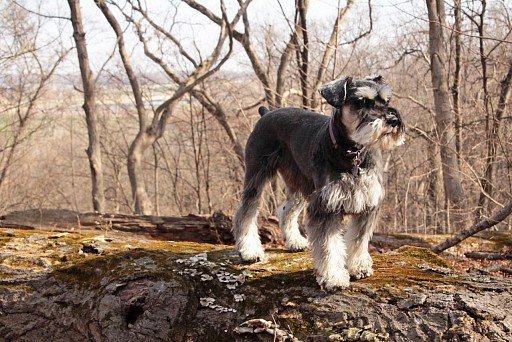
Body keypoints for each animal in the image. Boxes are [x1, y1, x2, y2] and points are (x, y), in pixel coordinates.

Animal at [232, 76, 404, 290]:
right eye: (362, 101)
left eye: (386, 101)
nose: (393, 120)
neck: (351, 153)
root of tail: (267, 113)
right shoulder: (325, 207)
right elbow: (329, 246)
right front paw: (333, 277)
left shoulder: (367, 204)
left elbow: (359, 240)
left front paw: (358, 267)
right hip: (257, 175)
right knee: (246, 211)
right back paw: (249, 251)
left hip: (300, 183)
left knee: (286, 210)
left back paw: (294, 241)